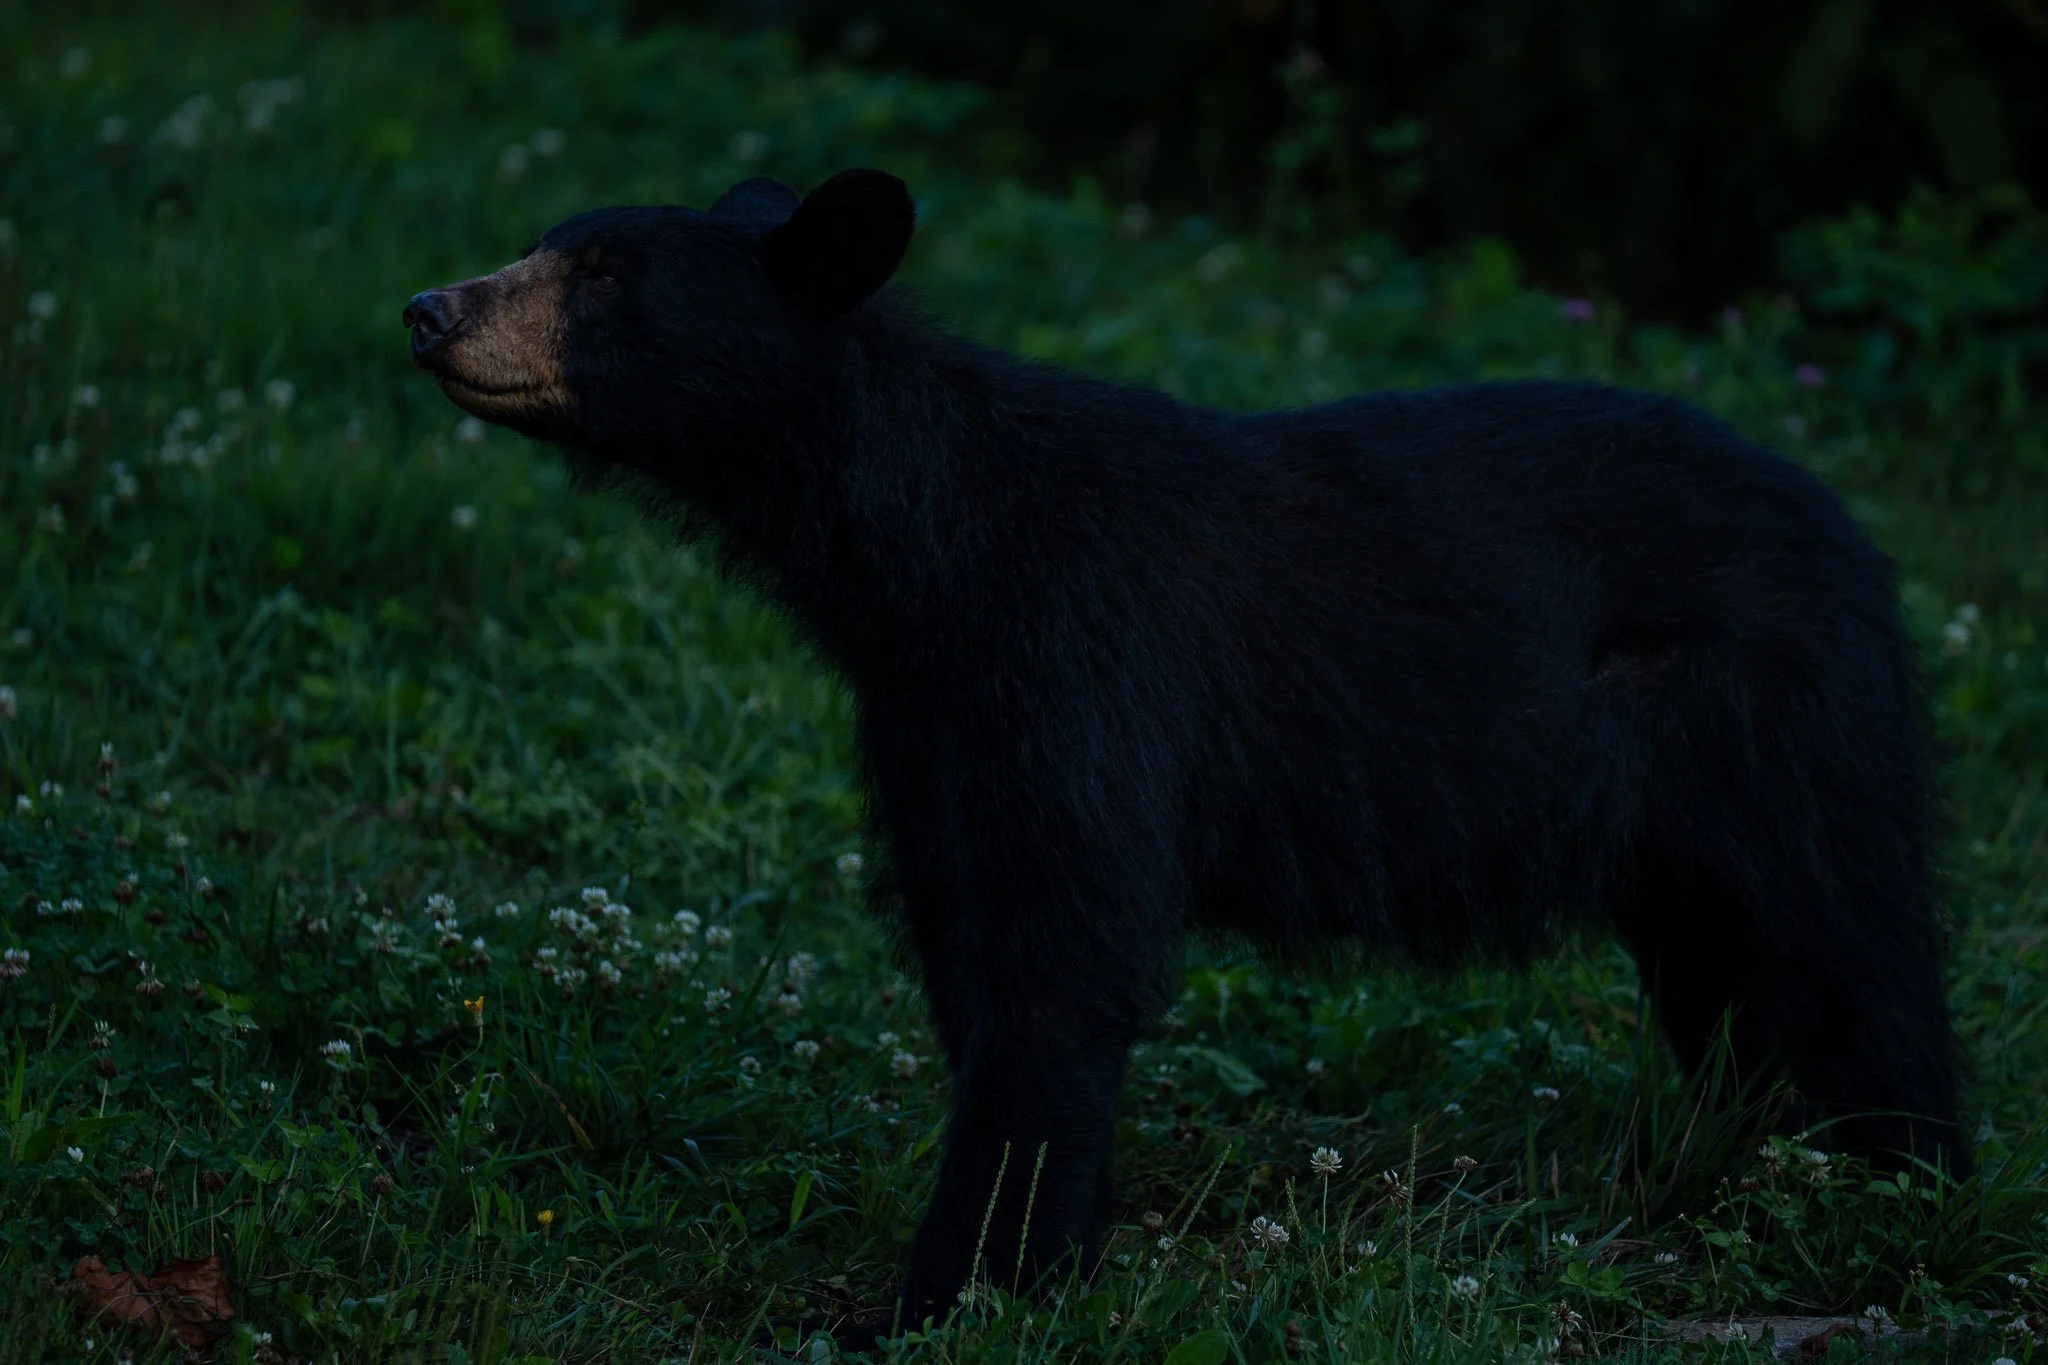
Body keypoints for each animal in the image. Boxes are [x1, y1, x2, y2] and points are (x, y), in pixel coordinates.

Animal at [405, 168, 1964, 1340]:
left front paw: (944, 1296)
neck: (921, 566)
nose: (429, 308)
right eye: (545, 241)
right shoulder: (932, 729)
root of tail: (1862, 539)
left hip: (1778, 729)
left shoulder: (1085, 680)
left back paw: (1899, 1198)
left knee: (1853, 956)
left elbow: (1056, 974)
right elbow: (971, 946)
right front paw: (1044, 1267)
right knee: (1739, 989)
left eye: (603, 275)